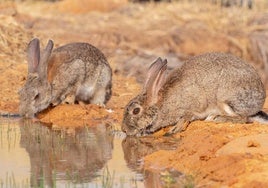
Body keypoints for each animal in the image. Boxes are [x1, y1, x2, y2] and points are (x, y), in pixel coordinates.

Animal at [122, 52, 268, 136]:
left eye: (136, 111)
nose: (124, 130)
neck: (161, 105)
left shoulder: (190, 107)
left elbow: (185, 117)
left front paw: (174, 129)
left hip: (225, 99)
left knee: (243, 118)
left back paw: (216, 118)